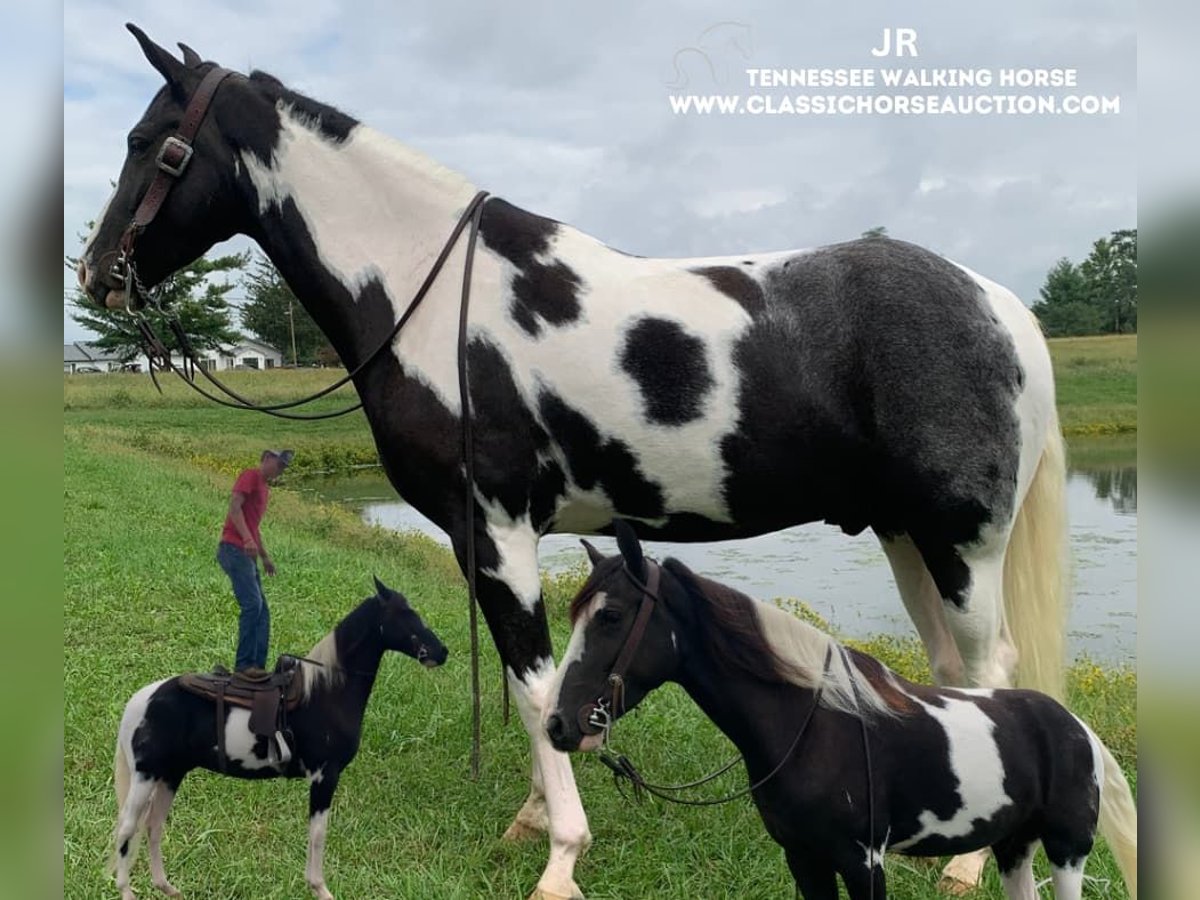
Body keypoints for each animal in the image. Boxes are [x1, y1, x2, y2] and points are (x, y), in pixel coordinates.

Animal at [110, 578, 448, 900]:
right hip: (146, 774)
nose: (441, 652)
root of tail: (141, 699)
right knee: (127, 826)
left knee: (153, 826)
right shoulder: (325, 775)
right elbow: (318, 834)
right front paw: (319, 888)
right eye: (405, 614)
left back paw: (166, 887)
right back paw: (126, 890)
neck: (326, 691)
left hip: (171, 774)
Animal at [549, 520, 1137, 900]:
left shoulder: (862, 862)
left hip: (1066, 850)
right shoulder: (804, 858)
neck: (815, 732)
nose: (560, 725)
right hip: (1013, 846)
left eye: (612, 617)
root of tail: (1077, 729)